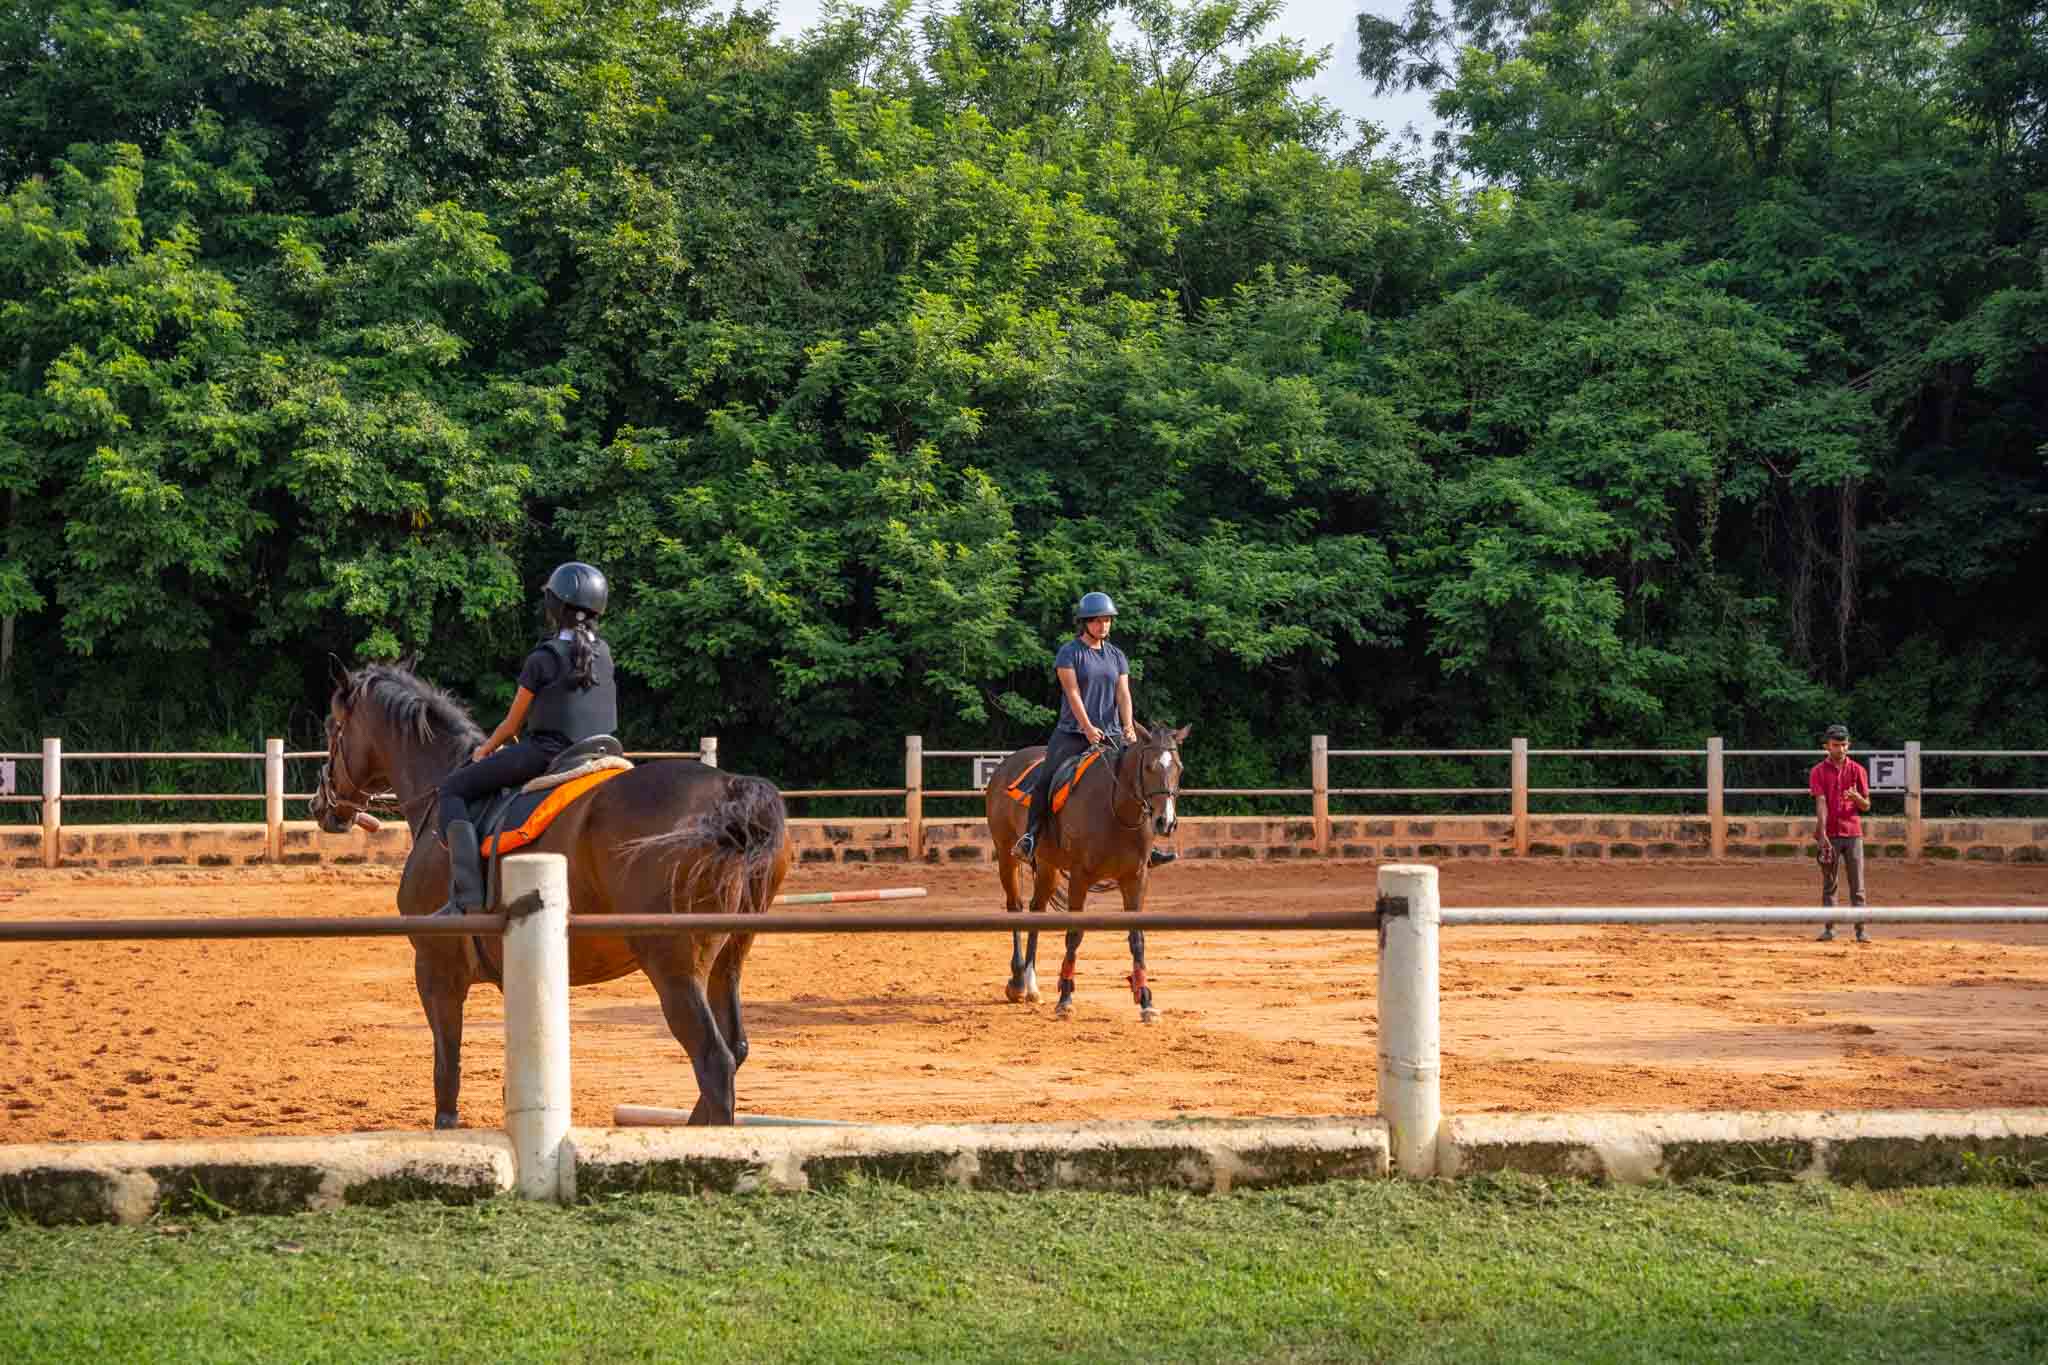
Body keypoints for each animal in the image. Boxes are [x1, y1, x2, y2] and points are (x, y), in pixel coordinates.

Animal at [307, 662, 790, 1128]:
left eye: (333, 728)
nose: (320, 805)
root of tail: (729, 791)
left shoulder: (435, 967)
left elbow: (447, 1067)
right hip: (726, 961)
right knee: (735, 1048)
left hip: (674, 965)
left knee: (714, 1059)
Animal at [984, 722, 1189, 1022]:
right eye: (1149, 766)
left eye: (1179, 768)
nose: (1166, 822)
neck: (1115, 810)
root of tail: (1006, 764)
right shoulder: (1080, 877)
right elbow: (1074, 934)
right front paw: (1066, 998)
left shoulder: (1136, 878)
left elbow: (1137, 938)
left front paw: (1145, 1000)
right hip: (1006, 855)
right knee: (1015, 906)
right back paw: (1018, 983)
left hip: (1048, 866)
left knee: (1036, 909)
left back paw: (1031, 984)